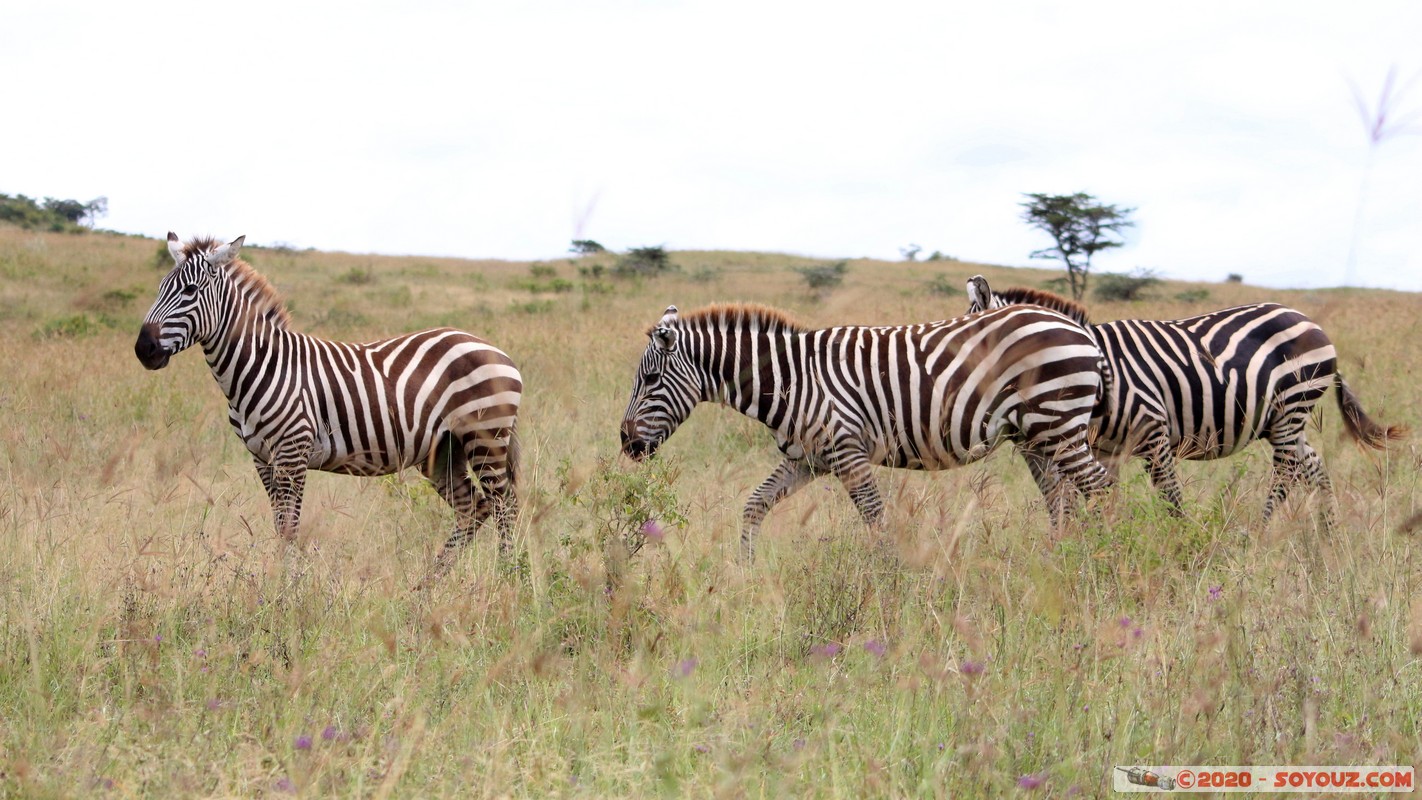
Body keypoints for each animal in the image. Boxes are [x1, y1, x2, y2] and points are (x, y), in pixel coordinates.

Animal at [132, 234, 523, 579]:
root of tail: (493, 349)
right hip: (442, 451)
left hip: (485, 437)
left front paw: (286, 592)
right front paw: (280, 584)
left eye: (189, 291)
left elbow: (290, 527)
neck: (261, 365)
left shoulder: (293, 452)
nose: (143, 349)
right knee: (474, 508)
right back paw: (428, 585)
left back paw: (509, 580)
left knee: (505, 507)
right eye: (160, 289)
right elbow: (279, 523)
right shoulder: (261, 457)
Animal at [617, 301, 1114, 557]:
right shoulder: (809, 458)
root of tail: (1080, 330)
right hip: (1036, 436)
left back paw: (1111, 557)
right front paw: (745, 570)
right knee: (1062, 500)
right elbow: (754, 506)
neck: (792, 380)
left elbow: (875, 518)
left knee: (1101, 489)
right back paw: (1058, 560)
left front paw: (885, 583)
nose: (626, 444)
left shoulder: (846, 450)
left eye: (651, 379)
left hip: (1058, 424)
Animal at [966, 274, 1410, 525]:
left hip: (1291, 406)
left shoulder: (1153, 433)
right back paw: (1327, 533)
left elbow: (1171, 498)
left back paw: (1259, 533)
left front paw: (1180, 542)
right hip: (1283, 419)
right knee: (1312, 465)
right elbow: (1099, 496)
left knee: (1286, 473)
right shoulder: (1107, 447)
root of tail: (1309, 321)